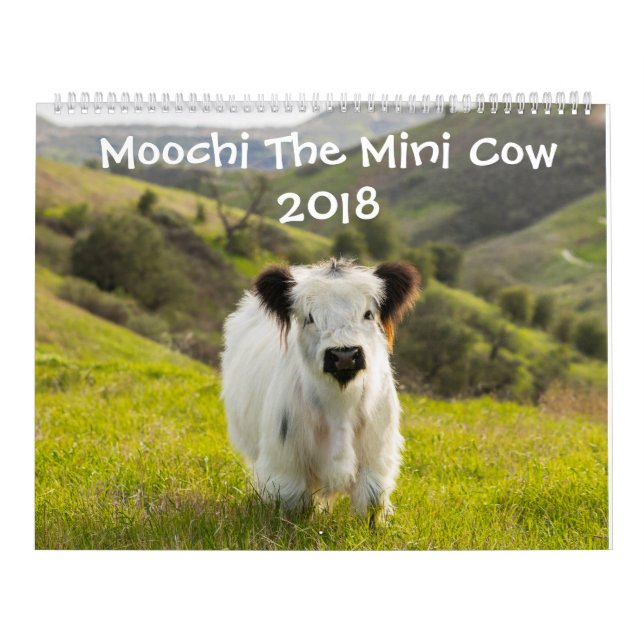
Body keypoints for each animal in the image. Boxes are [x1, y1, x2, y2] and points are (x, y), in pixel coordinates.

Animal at [221, 257, 420, 523]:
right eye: (309, 318)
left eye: (368, 314)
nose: (344, 355)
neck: (340, 404)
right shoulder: (286, 461)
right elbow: (292, 504)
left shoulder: (377, 455)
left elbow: (371, 502)